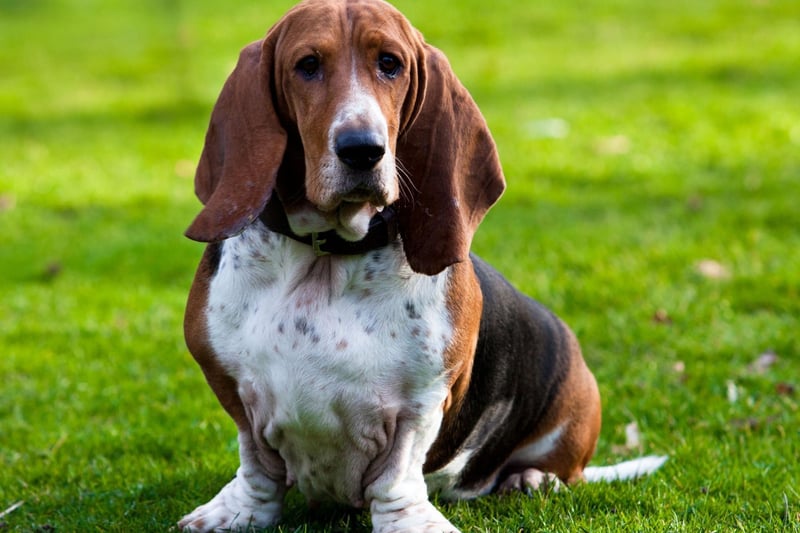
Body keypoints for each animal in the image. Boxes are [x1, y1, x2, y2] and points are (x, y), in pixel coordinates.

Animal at [178, 1, 664, 528]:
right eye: (307, 65)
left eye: (390, 64)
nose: (362, 148)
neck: (328, 254)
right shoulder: (234, 388)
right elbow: (257, 465)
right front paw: (238, 513)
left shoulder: (421, 399)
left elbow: (397, 472)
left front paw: (410, 522)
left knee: (560, 470)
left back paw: (531, 478)